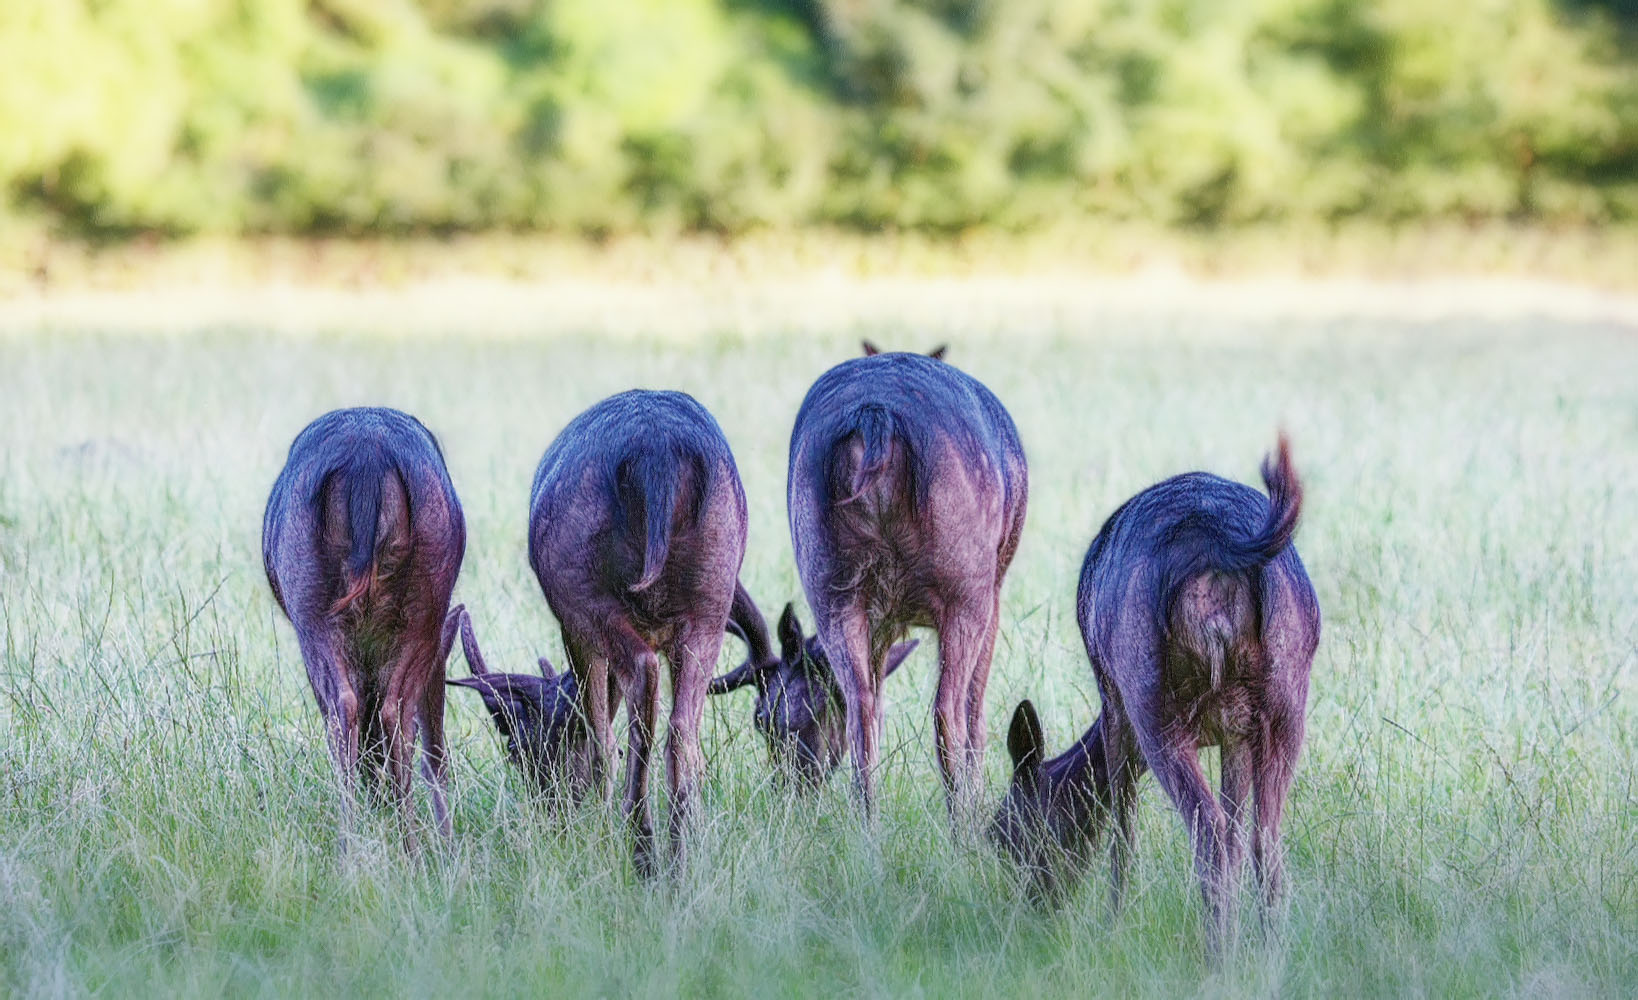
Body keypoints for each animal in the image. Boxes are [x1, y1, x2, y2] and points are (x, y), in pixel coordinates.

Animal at [262, 407, 468, 851]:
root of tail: (367, 463)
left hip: (311, 606)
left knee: (353, 709)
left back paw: (370, 843)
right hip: (425, 600)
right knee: (383, 711)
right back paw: (395, 843)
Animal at [520, 391, 746, 877]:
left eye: (548, 742)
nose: (553, 806)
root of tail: (656, 457)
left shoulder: (572, 630)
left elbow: (596, 725)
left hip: (583, 589)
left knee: (637, 685)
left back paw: (640, 846)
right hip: (713, 592)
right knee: (681, 729)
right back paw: (678, 857)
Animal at [782, 351, 1022, 828]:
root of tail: (875, 420)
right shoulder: (995, 589)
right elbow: (977, 707)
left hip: (828, 583)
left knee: (861, 706)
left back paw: (868, 827)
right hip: (966, 583)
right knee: (949, 710)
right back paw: (962, 826)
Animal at [982, 435, 1316, 955]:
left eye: (1004, 835)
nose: (1034, 910)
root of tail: (1221, 550)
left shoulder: (1112, 697)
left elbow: (1122, 827)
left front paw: (1112, 928)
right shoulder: (1236, 732)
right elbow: (1239, 829)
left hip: (1149, 694)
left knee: (1208, 831)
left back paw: (1217, 958)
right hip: (1287, 695)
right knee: (1263, 839)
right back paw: (1266, 956)